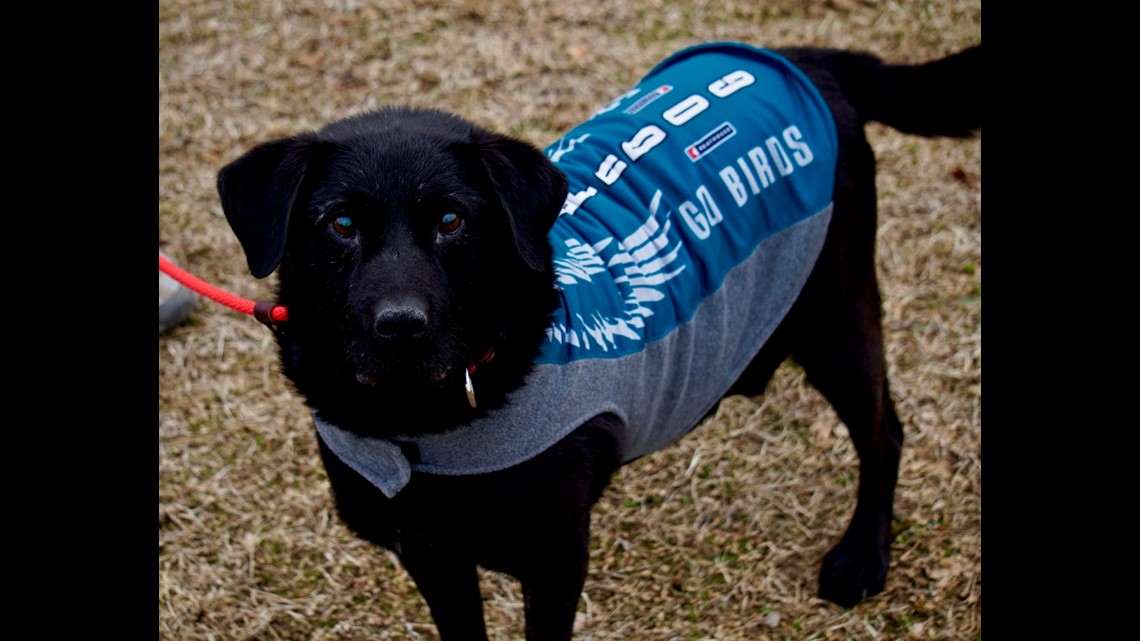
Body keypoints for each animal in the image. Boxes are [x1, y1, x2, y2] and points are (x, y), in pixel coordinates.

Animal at [220, 42, 980, 634]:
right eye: (341, 224)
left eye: (451, 221)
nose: (401, 326)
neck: (419, 424)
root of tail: (810, 59)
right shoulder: (433, 555)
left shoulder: (553, 558)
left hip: (835, 314)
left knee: (884, 432)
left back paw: (863, 557)